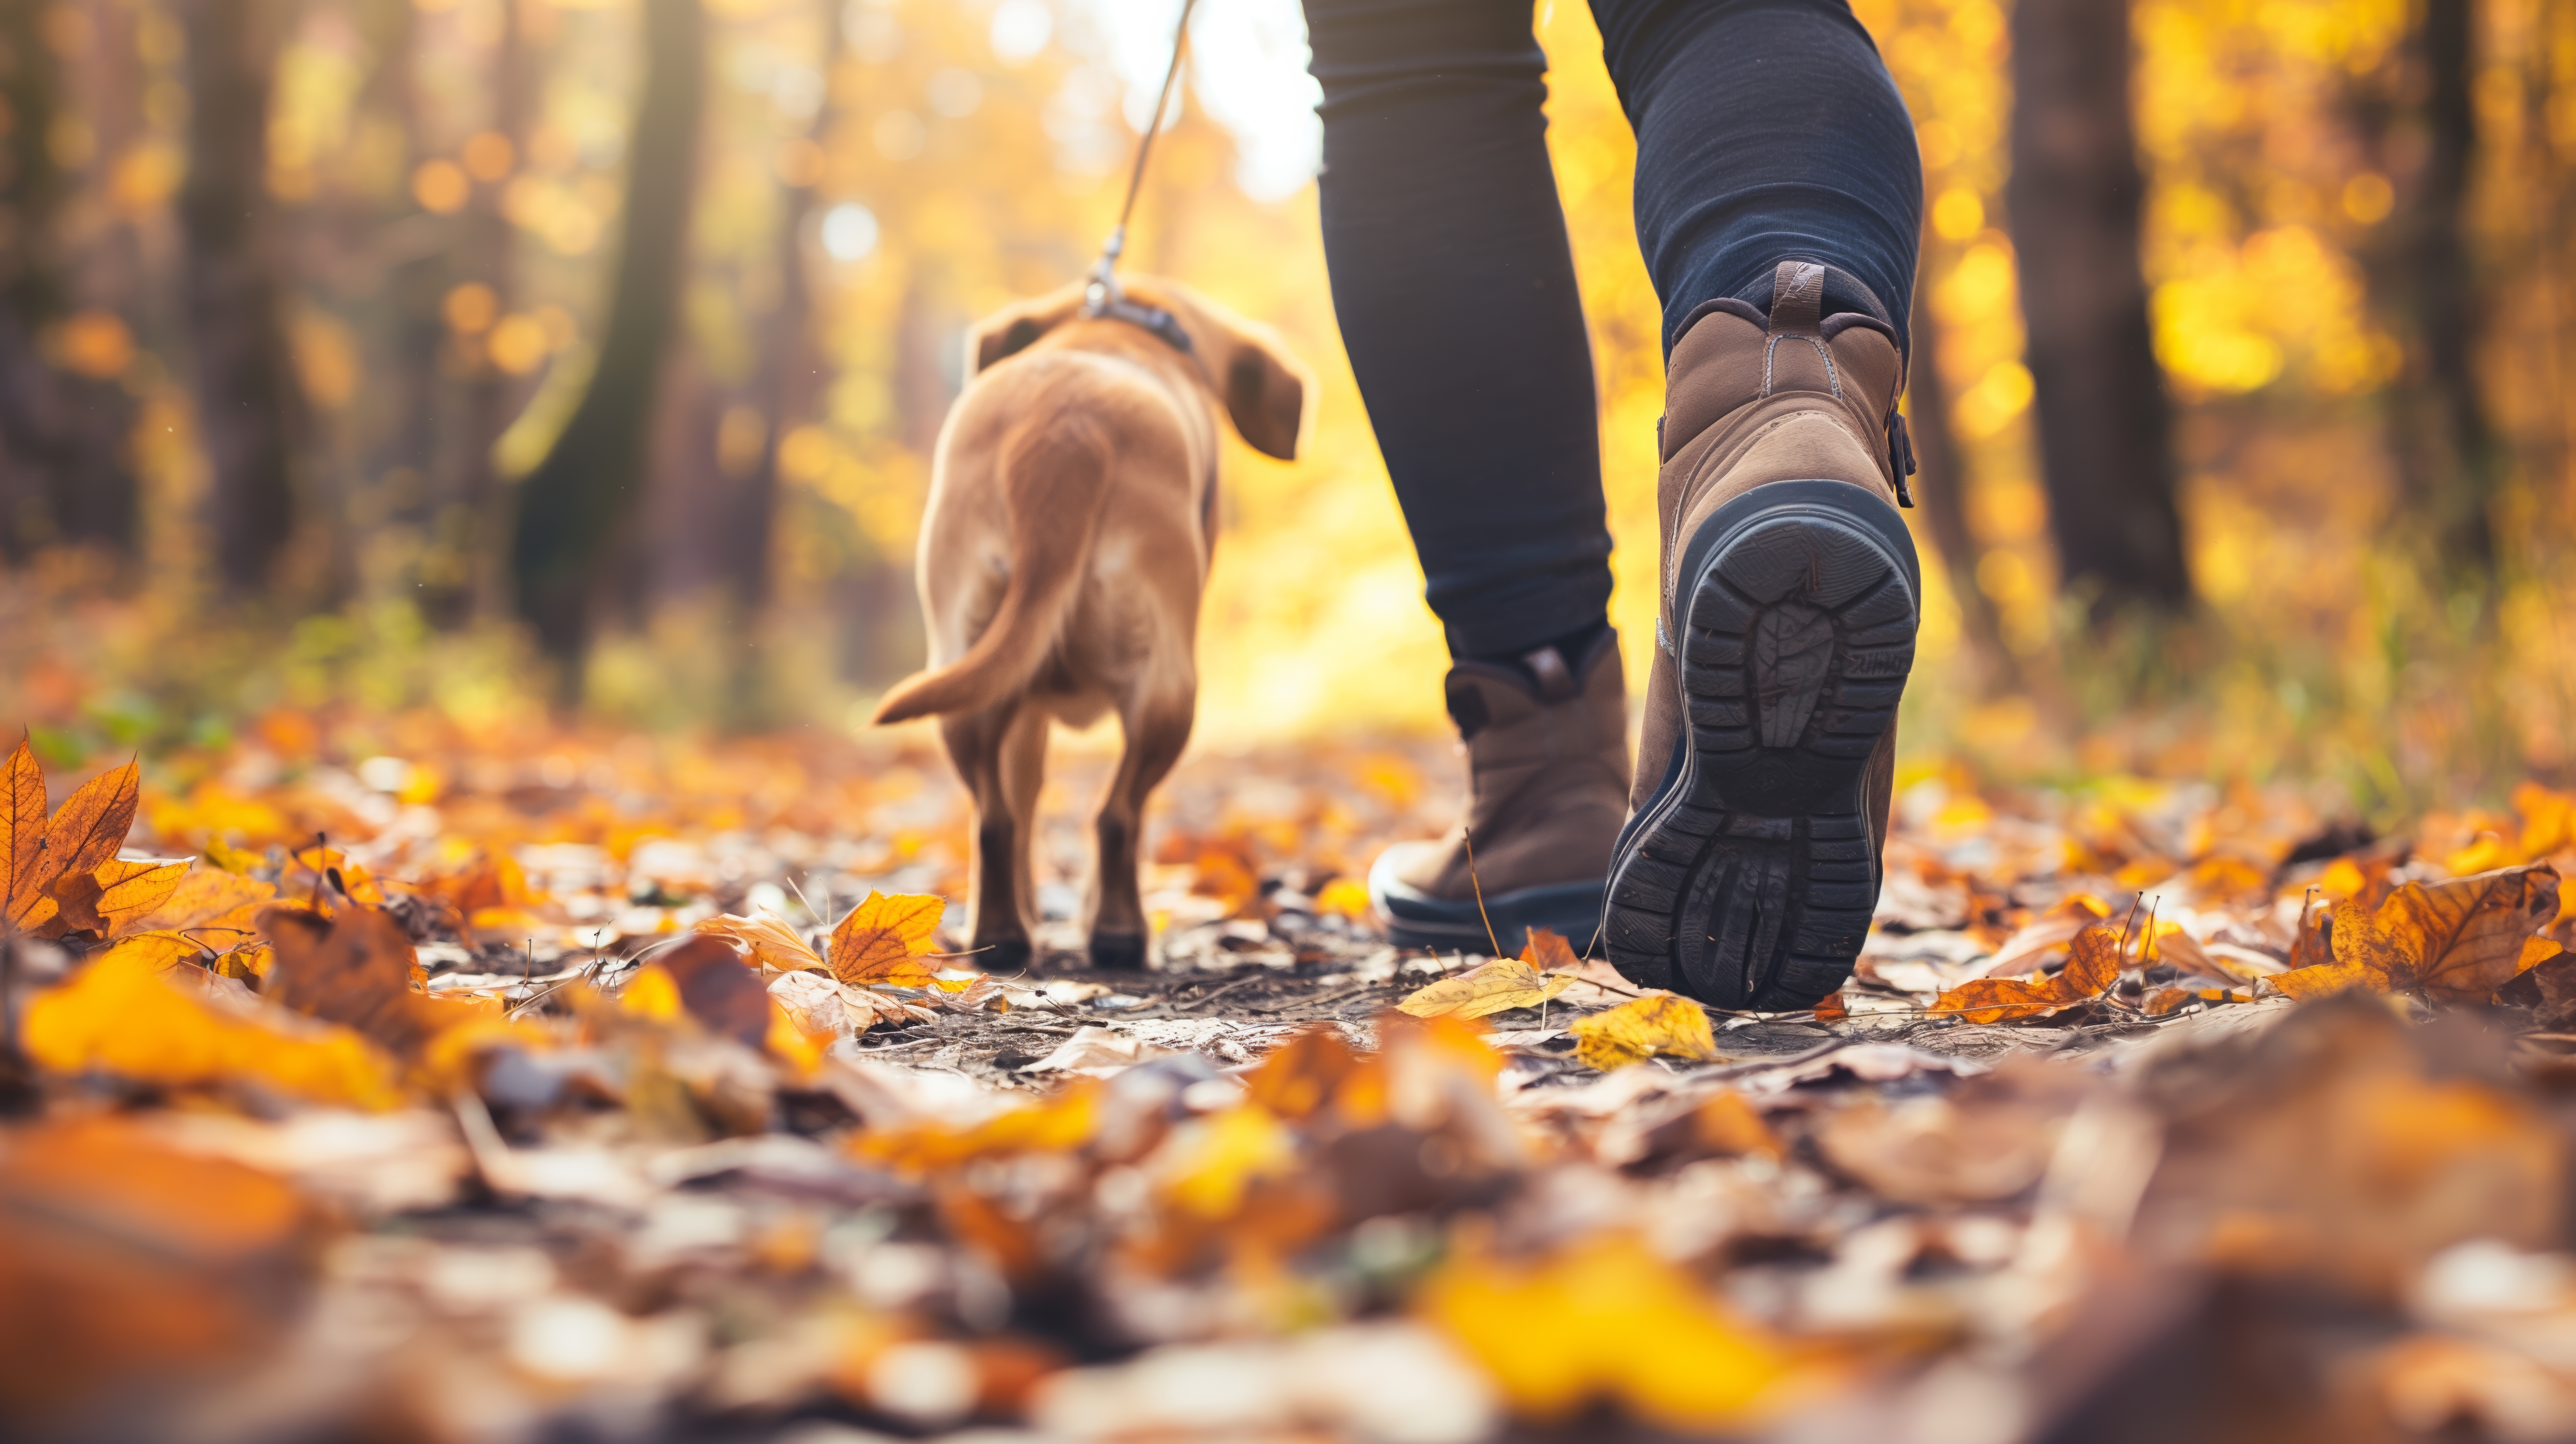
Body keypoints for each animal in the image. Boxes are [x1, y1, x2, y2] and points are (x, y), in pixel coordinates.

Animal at [870, 273, 1308, 969]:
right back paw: (1120, 933)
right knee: (1118, 816)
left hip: (970, 679)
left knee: (996, 819)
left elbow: (1022, 801)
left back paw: (1000, 933)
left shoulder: (1023, 710)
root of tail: (1063, 432)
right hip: (1170, 690)